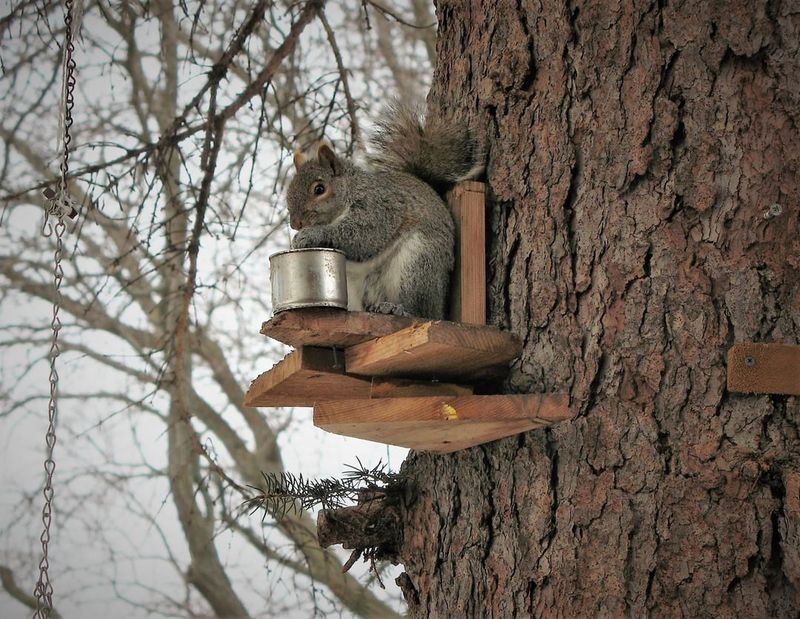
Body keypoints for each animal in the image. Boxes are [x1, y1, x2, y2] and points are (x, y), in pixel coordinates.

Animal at [290, 104, 484, 320]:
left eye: (319, 189)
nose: (295, 223)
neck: (352, 190)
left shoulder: (379, 208)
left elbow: (363, 236)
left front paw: (309, 235)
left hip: (418, 264)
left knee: (421, 310)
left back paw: (397, 309)